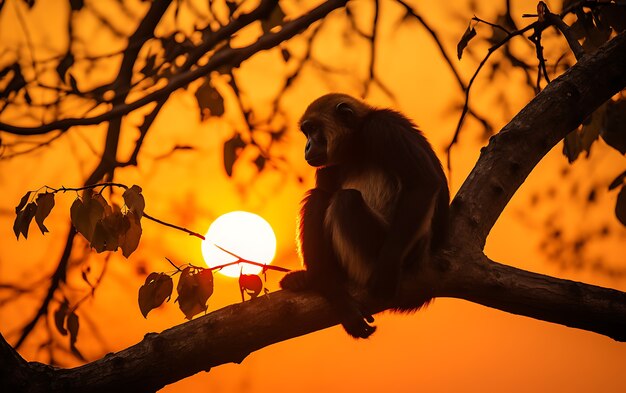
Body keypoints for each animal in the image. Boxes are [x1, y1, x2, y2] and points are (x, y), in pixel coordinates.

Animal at [280, 92, 448, 336]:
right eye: (306, 132)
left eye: (313, 129)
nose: (308, 145)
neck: (356, 145)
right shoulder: (331, 165)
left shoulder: (382, 129)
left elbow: (423, 183)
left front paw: (386, 269)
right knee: (319, 197)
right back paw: (323, 283)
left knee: (345, 200)